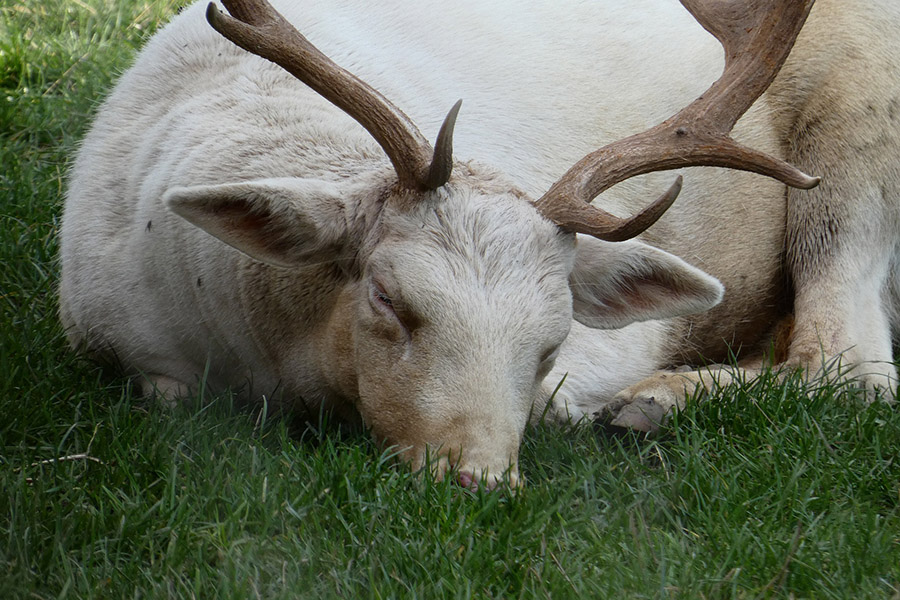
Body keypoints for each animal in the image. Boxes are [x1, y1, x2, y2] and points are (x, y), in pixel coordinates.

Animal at [59, 0, 900, 488]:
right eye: (387, 299)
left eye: (553, 341)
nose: (479, 479)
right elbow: (164, 394)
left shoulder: (616, 343)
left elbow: (560, 405)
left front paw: (627, 400)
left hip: (861, 128)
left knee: (851, 361)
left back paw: (650, 402)